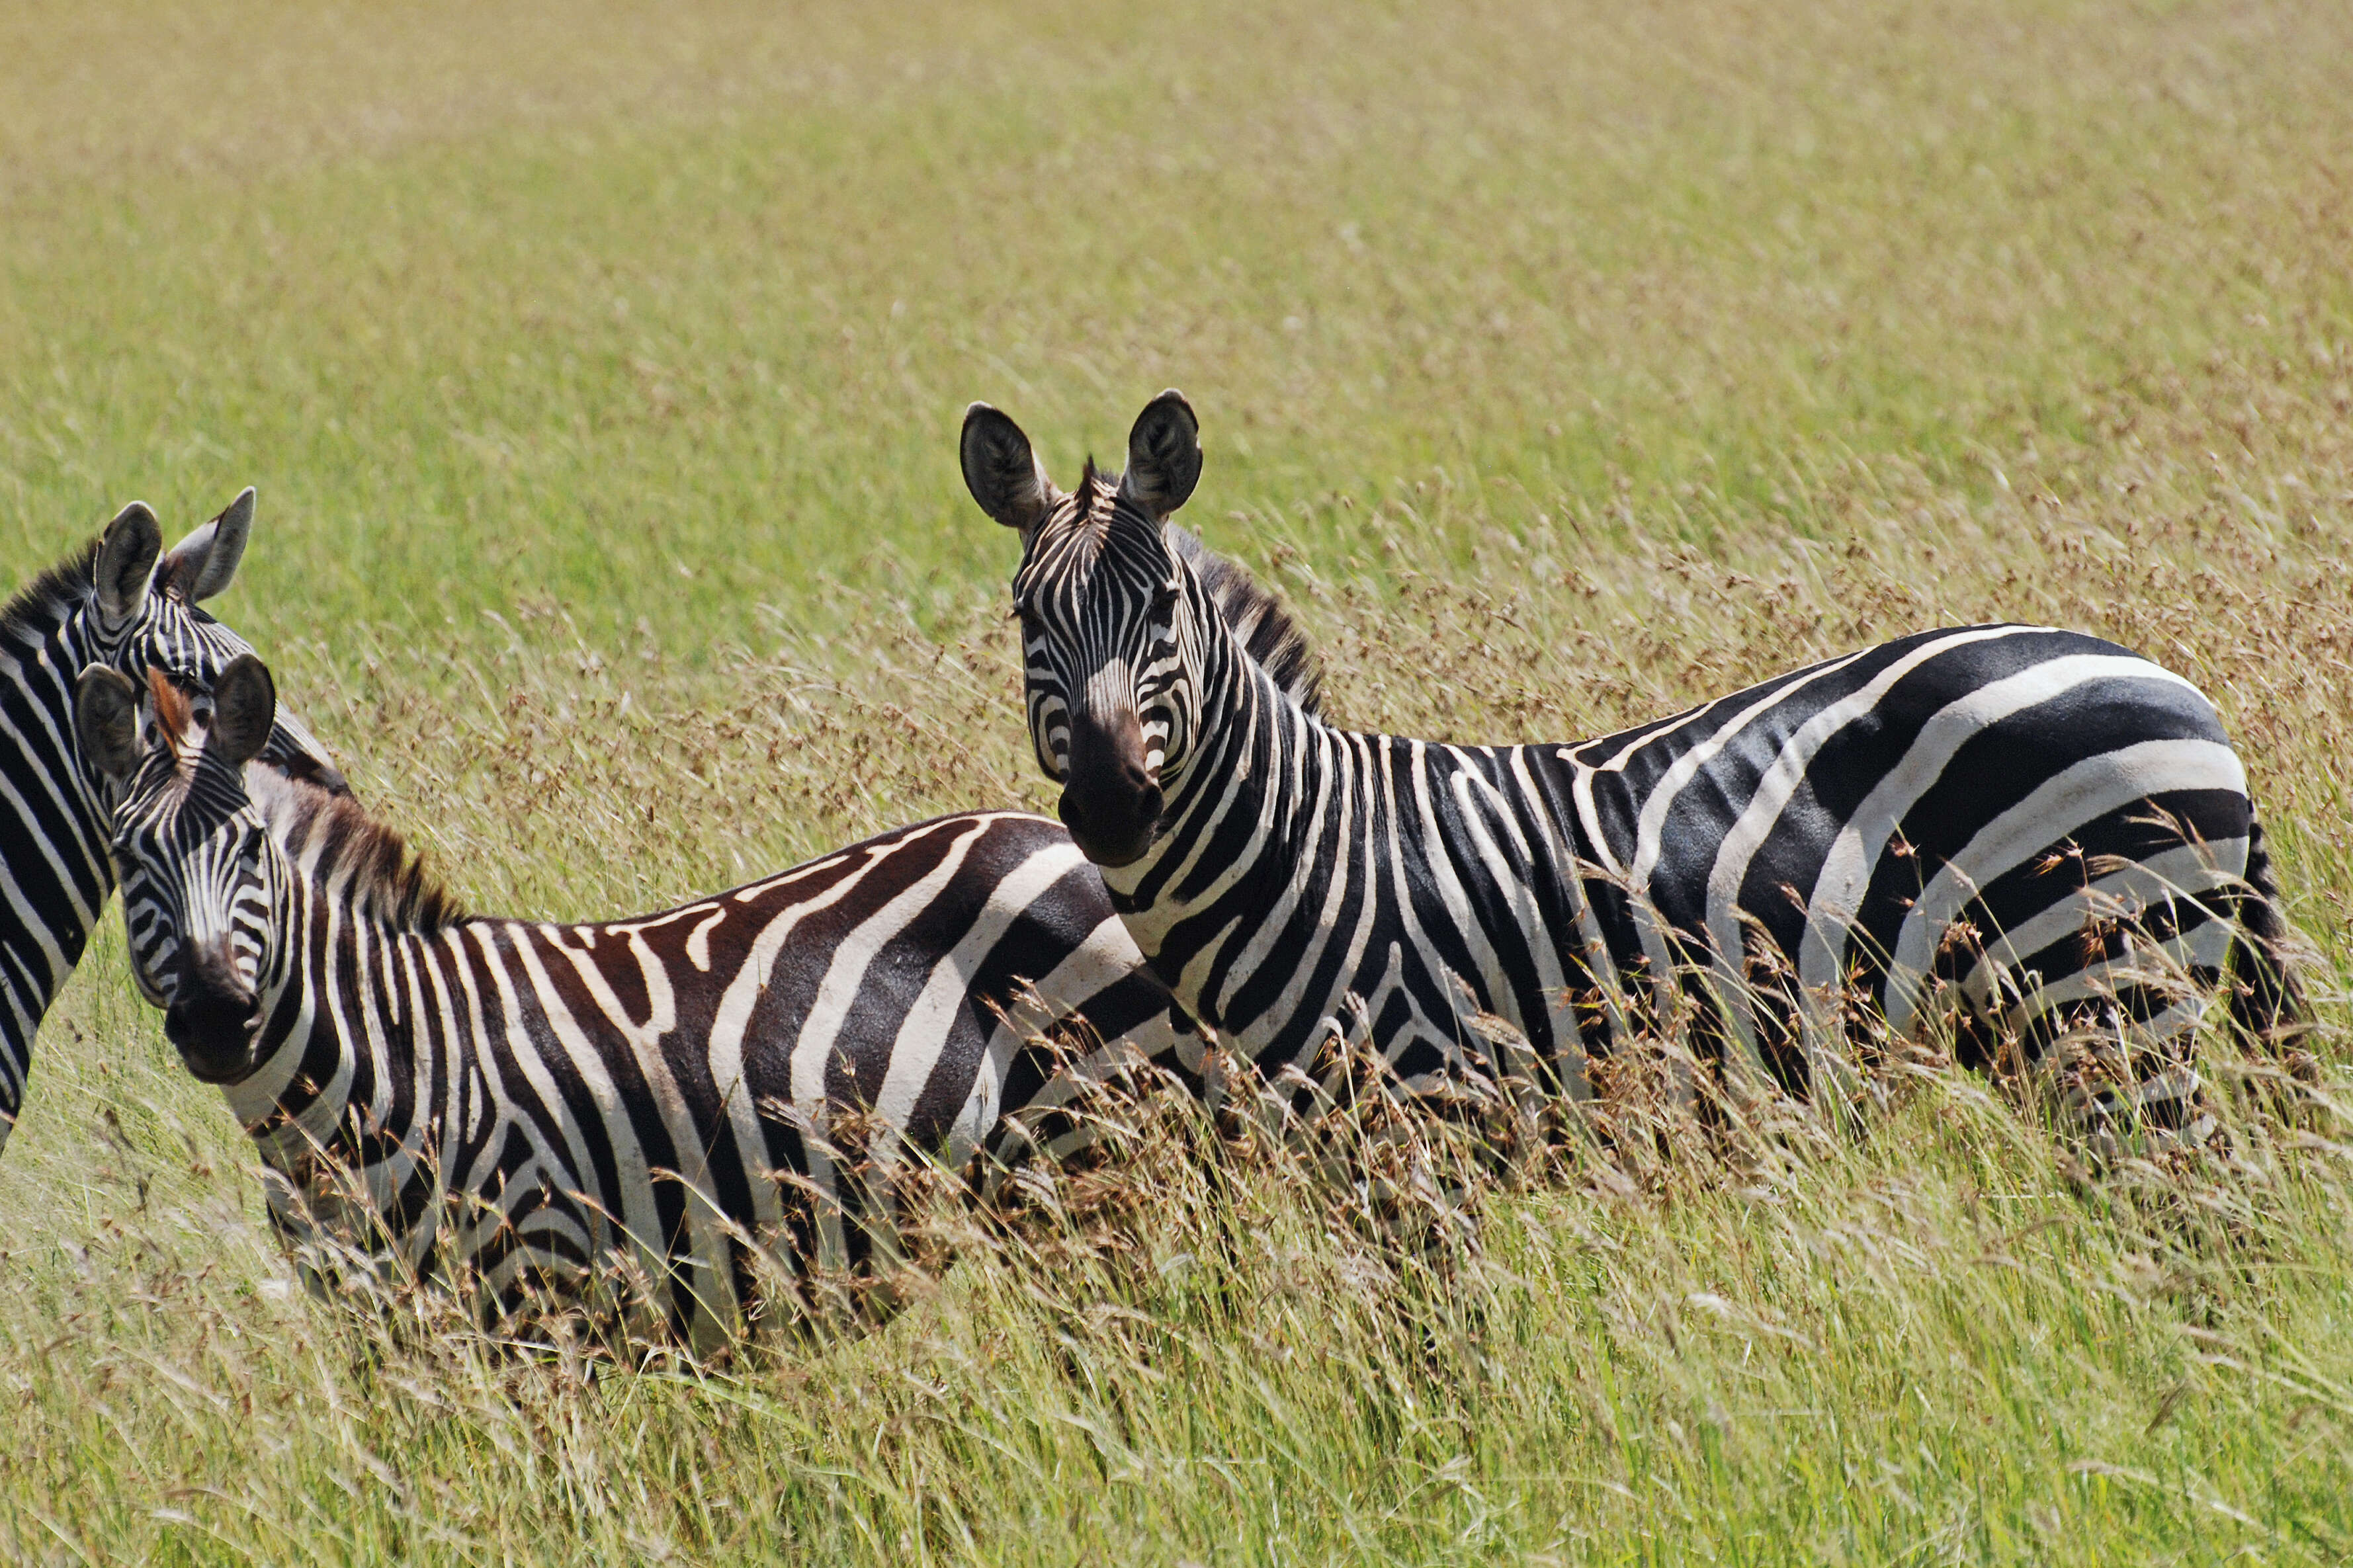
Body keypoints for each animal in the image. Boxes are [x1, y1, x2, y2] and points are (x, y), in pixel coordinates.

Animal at [80, 649, 1205, 1354]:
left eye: (250, 850)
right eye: (128, 860)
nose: (220, 1022)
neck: (378, 1073)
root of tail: (1059, 838)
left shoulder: (536, 1302)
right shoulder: (383, 1337)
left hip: (1097, 1157)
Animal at [964, 392, 2305, 1147]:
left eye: (1162, 611)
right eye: (1027, 618)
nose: (1111, 804)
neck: (1303, 851)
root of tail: (2180, 687)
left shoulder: (1431, 1111)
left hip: (2104, 981)